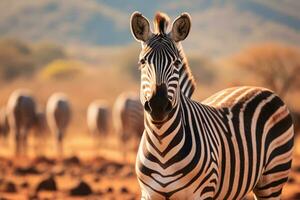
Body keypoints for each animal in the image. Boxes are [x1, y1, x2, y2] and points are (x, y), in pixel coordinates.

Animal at [130, 11, 294, 199]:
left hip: (273, 177)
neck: (161, 145)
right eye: (142, 62)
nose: (158, 106)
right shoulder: (148, 194)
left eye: (176, 63)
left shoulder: (202, 193)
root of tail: (263, 89)